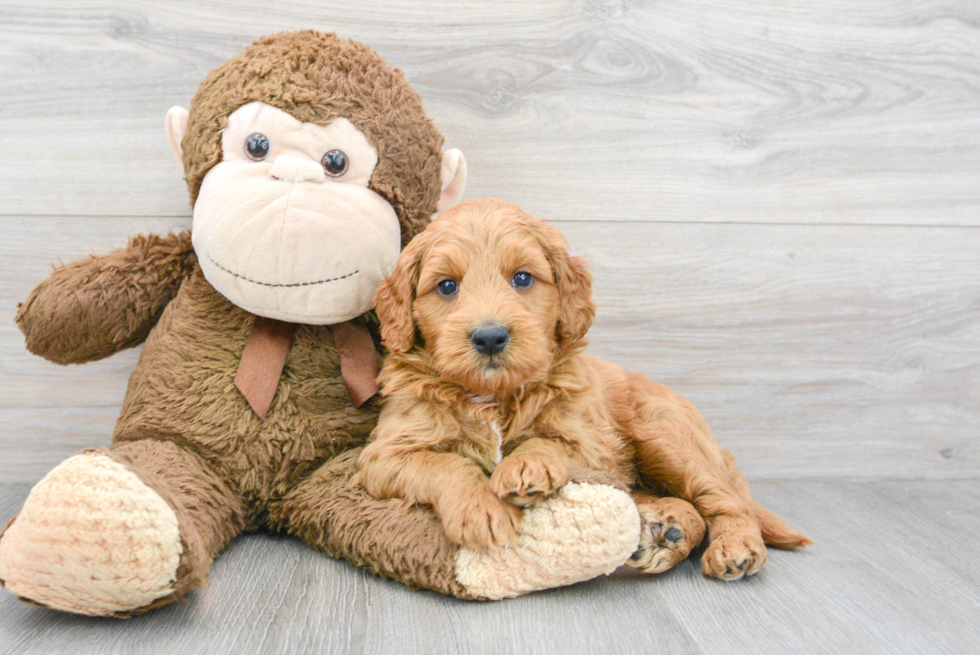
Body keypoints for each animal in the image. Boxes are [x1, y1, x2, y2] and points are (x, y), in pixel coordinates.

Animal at [356, 199, 808, 580]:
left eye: (522, 278)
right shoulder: (386, 454)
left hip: (666, 436)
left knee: (723, 500)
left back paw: (735, 547)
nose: (489, 337)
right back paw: (666, 532)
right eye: (447, 286)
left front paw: (526, 467)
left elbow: (547, 441)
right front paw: (481, 508)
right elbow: (445, 464)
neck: (495, 396)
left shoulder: (592, 442)